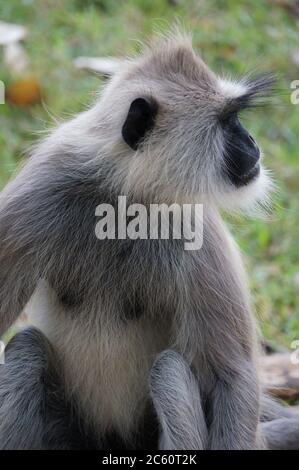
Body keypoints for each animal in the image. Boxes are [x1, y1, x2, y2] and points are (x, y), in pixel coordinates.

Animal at [0, 31, 299, 450]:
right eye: (228, 122)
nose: (252, 144)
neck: (124, 201)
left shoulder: (196, 225)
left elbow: (232, 376)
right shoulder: (37, 193)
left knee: (169, 371)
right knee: (26, 349)